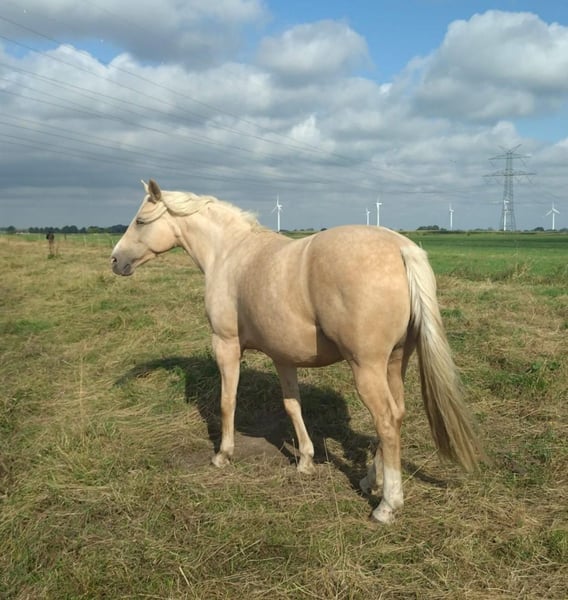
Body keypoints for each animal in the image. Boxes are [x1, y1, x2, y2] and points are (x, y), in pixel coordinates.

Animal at [111, 179, 482, 524]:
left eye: (140, 220)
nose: (115, 260)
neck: (228, 253)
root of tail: (401, 248)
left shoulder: (226, 344)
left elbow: (227, 401)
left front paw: (223, 455)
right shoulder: (283, 357)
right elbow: (293, 406)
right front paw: (305, 460)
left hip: (367, 368)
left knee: (387, 421)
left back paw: (387, 505)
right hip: (395, 362)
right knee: (399, 413)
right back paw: (370, 481)